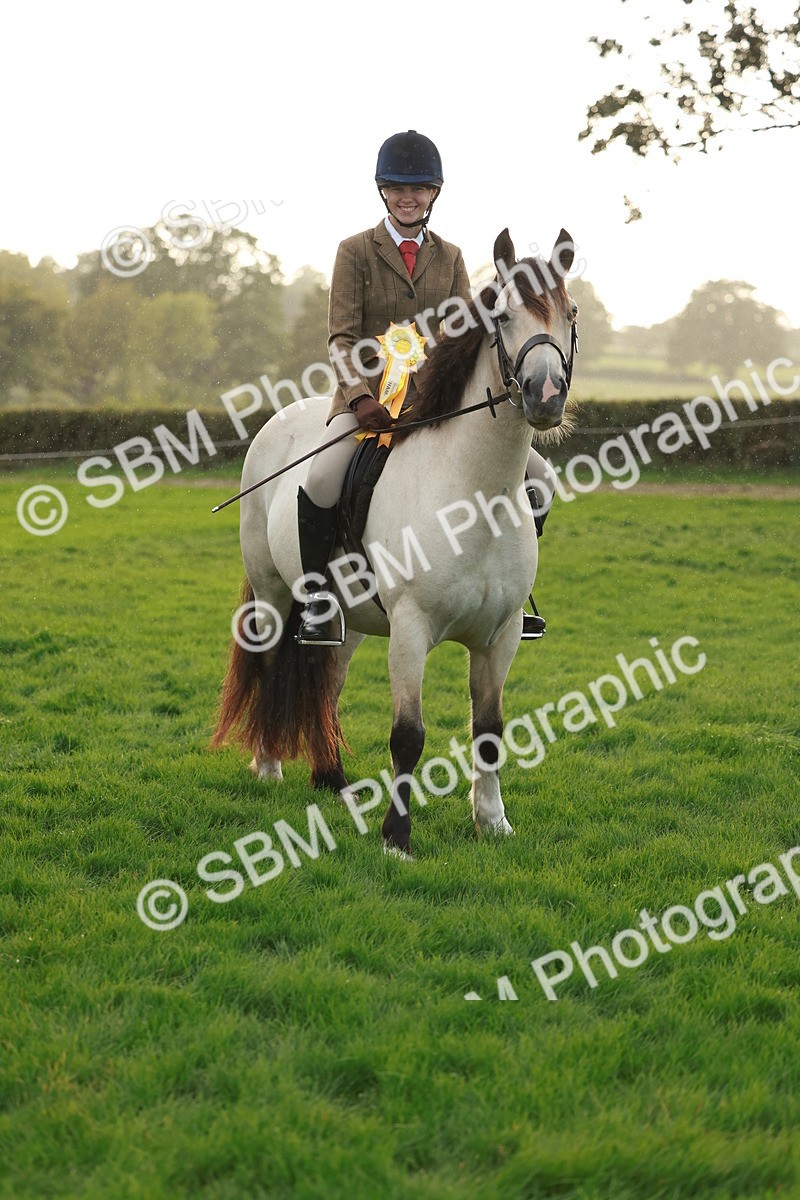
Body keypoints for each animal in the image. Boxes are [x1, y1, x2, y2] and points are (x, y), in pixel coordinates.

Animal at [212, 228, 577, 857]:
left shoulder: (501, 636)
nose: (546, 394)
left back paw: (332, 780)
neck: (474, 493)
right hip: (273, 592)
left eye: (570, 314)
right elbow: (408, 734)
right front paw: (396, 838)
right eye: (502, 315)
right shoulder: (410, 627)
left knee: (328, 681)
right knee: (271, 663)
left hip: (351, 617)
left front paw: (492, 822)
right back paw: (269, 766)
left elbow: (490, 730)